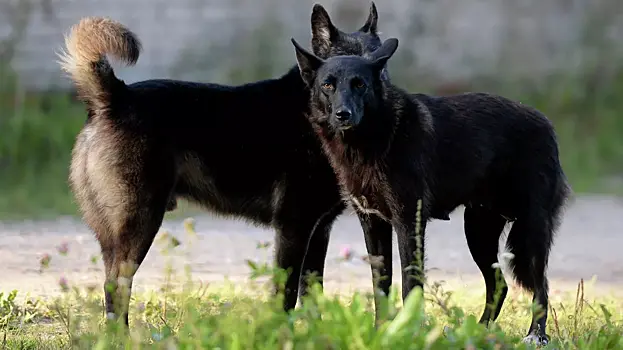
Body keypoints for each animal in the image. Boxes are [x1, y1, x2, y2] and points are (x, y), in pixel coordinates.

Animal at [58, 3, 390, 326]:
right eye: (336, 78)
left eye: (379, 66)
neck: (311, 111)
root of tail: (115, 96)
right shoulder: (293, 227)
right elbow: (285, 295)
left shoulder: (319, 230)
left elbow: (312, 297)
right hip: (139, 223)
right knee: (116, 287)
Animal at [294, 37, 572, 344]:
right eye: (328, 85)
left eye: (360, 84)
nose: (344, 114)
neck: (371, 141)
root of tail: (545, 122)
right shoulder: (373, 223)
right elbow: (381, 287)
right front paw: (382, 332)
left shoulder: (408, 223)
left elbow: (410, 285)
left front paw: (409, 332)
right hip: (478, 233)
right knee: (499, 285)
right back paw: (478, 331)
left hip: (530, 231)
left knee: (541, 286)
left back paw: (536, 335)